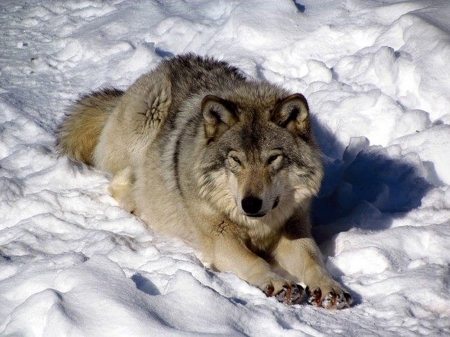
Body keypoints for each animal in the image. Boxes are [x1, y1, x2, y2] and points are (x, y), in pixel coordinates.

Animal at [57, 53, 352, 308]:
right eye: (236, 160)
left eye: (273, 159)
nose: (250, 204)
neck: (256, 226)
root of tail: (167, 64)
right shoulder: (220, 239)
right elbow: (254, 261)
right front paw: (277, 282)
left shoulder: (294, 227)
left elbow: (313, 260)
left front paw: (329, 287)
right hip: (149, 117)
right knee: (119, 183)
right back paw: (141, 205)